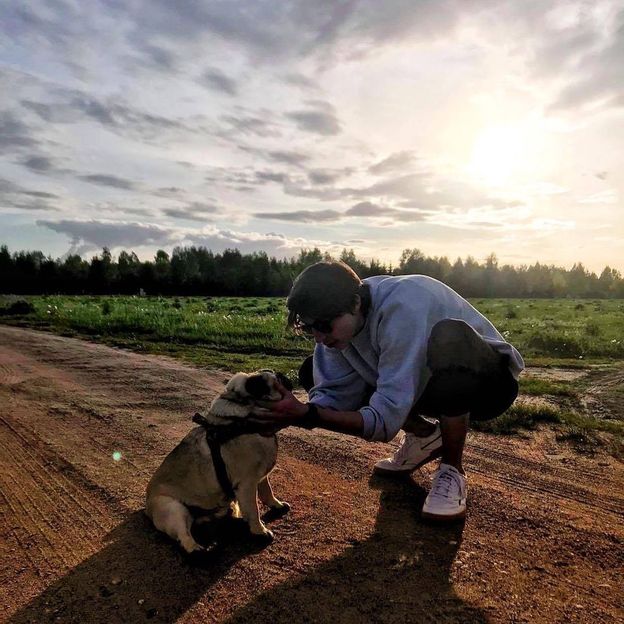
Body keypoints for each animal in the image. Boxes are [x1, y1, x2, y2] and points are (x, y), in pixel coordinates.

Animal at [146, 368, 292, 552]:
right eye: (264, 384)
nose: (280, 374)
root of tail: (147, 509)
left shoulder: (261, 477)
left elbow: (267, 491)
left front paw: (276, 505)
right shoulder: (247, 484)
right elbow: (254, 509)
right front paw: (260, 531)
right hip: (172, 508)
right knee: (184, 536)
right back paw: (199, 550)